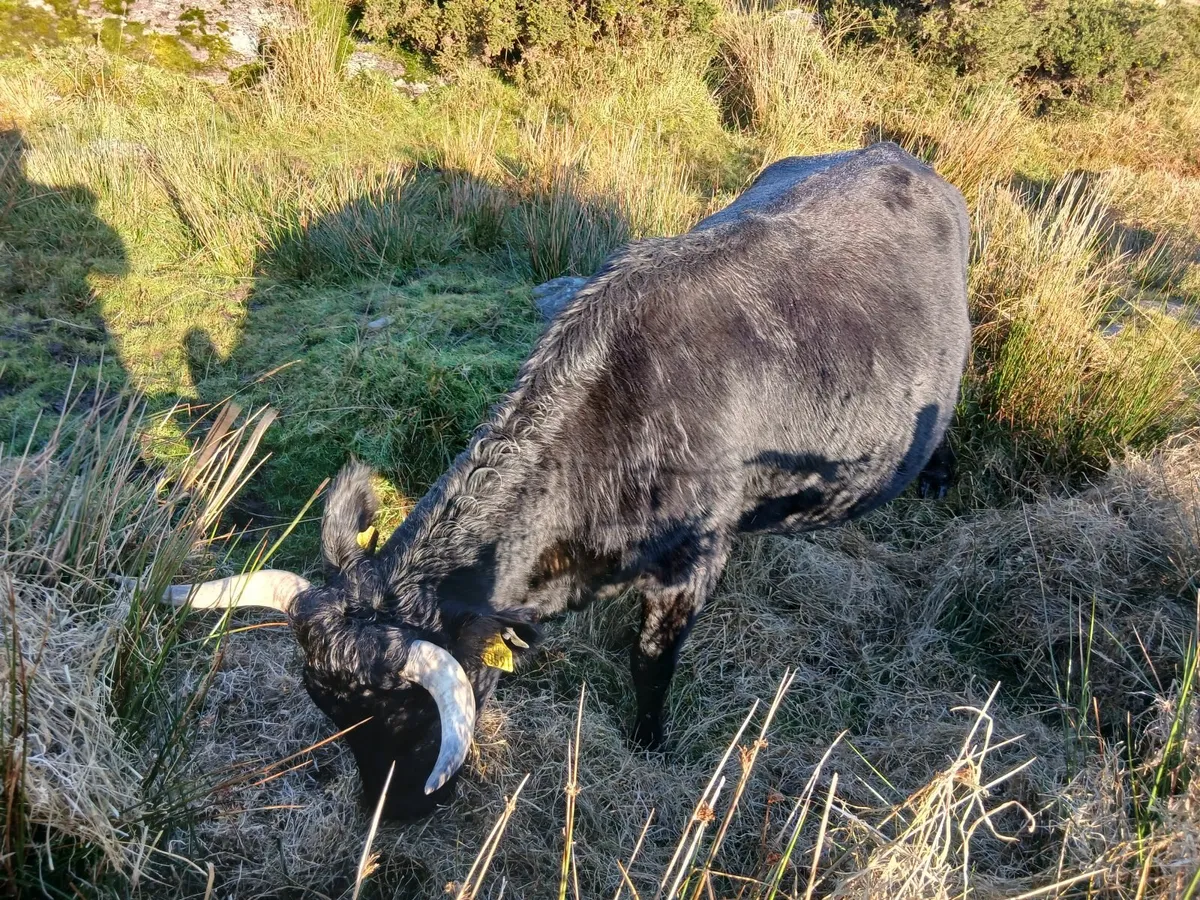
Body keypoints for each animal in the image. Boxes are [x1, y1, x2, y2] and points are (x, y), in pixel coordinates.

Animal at [162, 142, 971, 821]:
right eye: (328, 713)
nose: (387, 815)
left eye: (406, 717)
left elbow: (650, 664)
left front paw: (650, 742)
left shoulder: (692, 565)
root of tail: (897, 154)